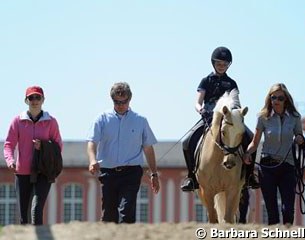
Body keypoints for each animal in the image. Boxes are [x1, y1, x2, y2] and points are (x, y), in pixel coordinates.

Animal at [195, 90, 247, 223]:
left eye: (242, 133)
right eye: (223, 132)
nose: (229, 163)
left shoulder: (232, 190)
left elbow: (228, 218)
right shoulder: (207, 191)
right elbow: (213, 218)